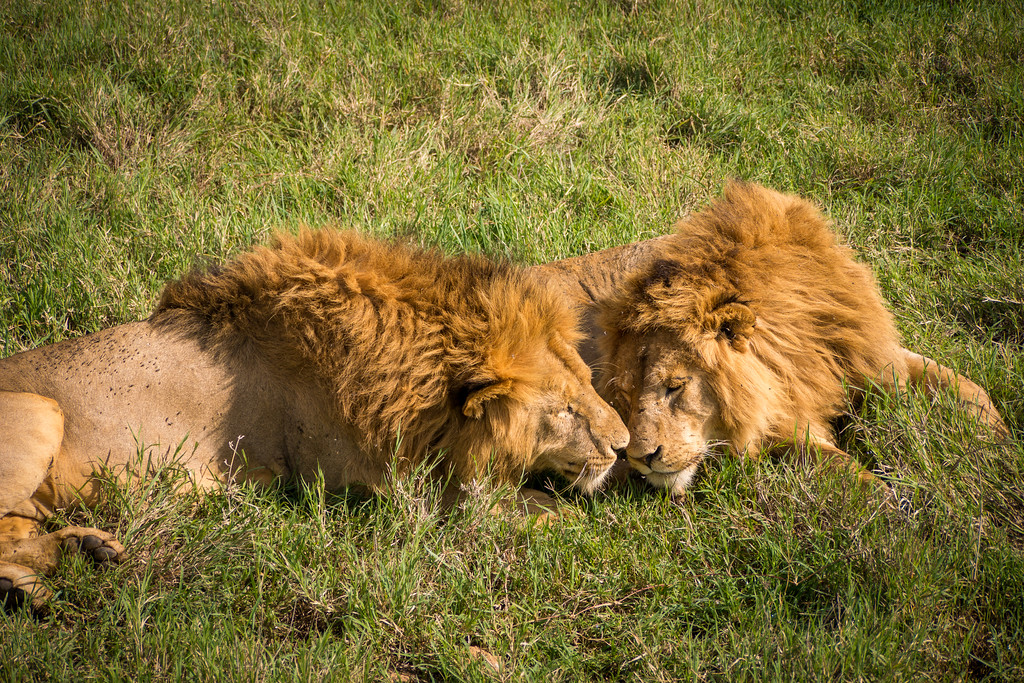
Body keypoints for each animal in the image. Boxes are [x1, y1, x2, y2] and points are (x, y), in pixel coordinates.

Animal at [0, 229, 628, 608]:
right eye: (565, 408)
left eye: (587, 380)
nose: (622, 445)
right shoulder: (382, 487)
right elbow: (529, 509)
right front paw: (584, 522)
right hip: (42, 410)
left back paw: (81, 553)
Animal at [533, 182, 1008, 494]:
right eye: (626, 397)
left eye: (675, 386)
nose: (637, 458)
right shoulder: (775, 421)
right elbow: (838, 467)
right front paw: (896, 507)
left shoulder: (864, 354)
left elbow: (964, 385)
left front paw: (996, 444)